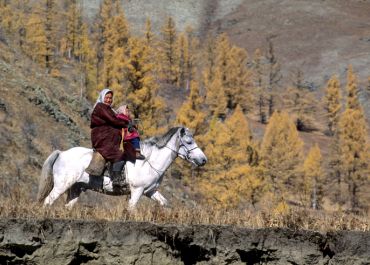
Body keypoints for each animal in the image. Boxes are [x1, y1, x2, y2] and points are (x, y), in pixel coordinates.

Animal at [37, 126, 208, 208]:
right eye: (189, 142)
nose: (203, 160)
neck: (149, 162)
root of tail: (61, 153)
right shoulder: (137, 192)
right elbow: (130, 210)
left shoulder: (150, 191)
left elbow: (164, 203)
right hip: (61, 185)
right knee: (48, 201)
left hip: (76, 188)